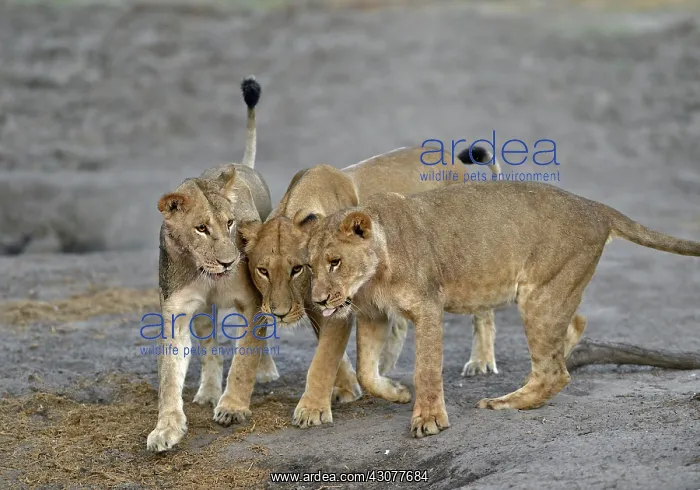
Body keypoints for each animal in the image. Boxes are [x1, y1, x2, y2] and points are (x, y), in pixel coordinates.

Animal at [147, 76, 278, 452]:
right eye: (201, 228)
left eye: (230, 223)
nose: (229, 261)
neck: (205, 273)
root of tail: (242, 165)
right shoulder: (176, 311)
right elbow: (170, 376)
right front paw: (166, 428)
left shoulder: (251, 302)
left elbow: (244, 360)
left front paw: (233, 407)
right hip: (204, 314)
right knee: (211, 345)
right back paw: (207, 391)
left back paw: (265, 371)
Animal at [234, 145, 501, 429]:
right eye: (262, 271)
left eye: (297, 269)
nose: (279, 313)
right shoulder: (328, 307)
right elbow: (347, 362)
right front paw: (362, 388)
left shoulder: (342, 309)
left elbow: (323, 359)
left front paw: (311, 409)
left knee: (483, 307)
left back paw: (481, 361)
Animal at [305, 181, 700, 438]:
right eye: (309, 267)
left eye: (335, 262)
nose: (320, 300)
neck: (374, 276)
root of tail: (596, 207)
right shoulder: (372, 315)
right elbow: (366, 371)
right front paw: (396, 393)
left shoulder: (429, 305)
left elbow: (427, 369)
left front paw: (429, 419)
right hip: (551, 294)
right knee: (571, 331)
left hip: (539, 296)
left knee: (555, 373)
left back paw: (505, 402)